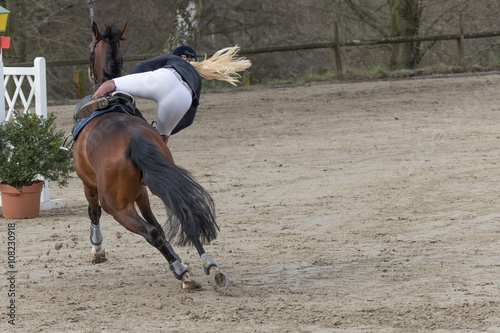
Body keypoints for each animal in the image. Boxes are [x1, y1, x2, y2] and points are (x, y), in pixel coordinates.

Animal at [72, 22, 229, 290]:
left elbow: (94, 213)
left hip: (117, 206)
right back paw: (210, 267)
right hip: (161, 181)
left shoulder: (89, 184)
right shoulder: (142, 190)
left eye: (91, 47)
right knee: (184, 216)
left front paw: (98, 250)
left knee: (151, 233)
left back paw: (182, 273)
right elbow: (158, 223)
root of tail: (134, 136)